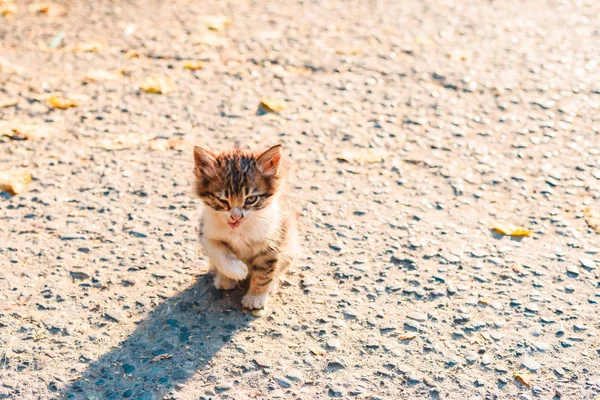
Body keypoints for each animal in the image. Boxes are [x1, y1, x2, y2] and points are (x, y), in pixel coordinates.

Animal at [193, 144, 298, 310]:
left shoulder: (273, 241)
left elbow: (264, 272)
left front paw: (255, 297)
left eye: (251, 199)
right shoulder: (206, 230)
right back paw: (224, 279)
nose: (236, 217)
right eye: (223, 200)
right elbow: (217, 250)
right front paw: (236, 271)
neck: (239, 230)